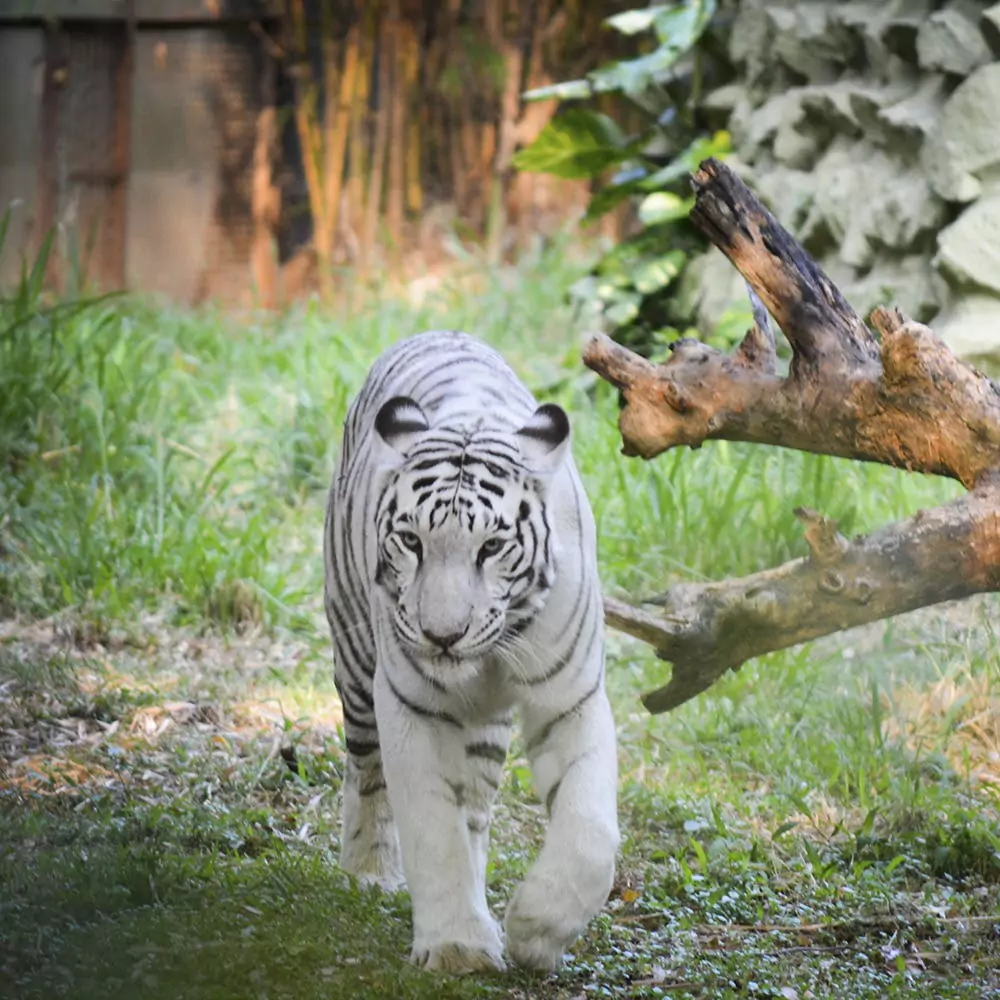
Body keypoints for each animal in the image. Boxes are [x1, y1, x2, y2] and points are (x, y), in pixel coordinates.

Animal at [324, 332, 616, 972]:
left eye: (492, 547)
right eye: (411, 541)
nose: (442, 635)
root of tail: (437, 332)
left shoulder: (572, 697)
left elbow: (590, 830)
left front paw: (538, 927)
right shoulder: (410, 703)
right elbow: (433, 827)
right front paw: (456, 945)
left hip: (487, 728)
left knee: (477, 808)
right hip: (355, 663)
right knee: (367, 770)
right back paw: (368, 870)